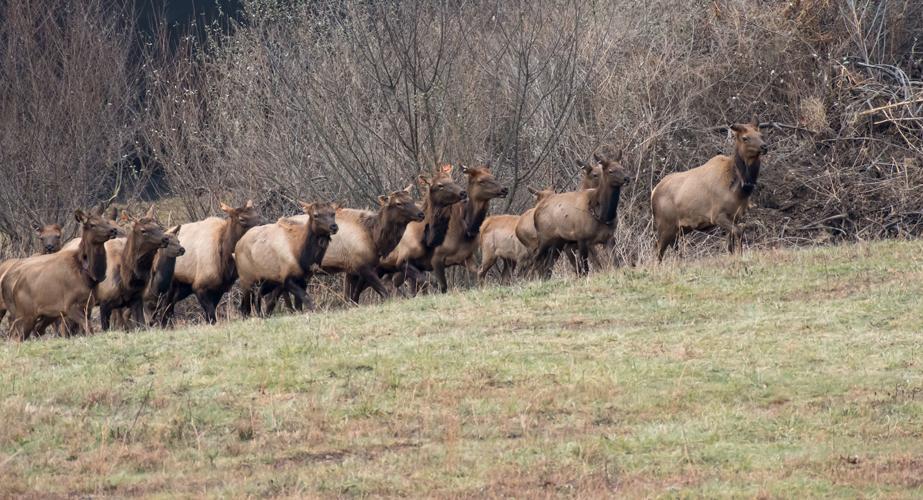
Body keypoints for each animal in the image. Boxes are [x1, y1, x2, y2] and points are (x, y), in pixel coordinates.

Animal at [0, 206, 121, 340]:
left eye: (105, 221)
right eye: (92, 224)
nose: (113, 230)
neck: (87, 275)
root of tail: (6, 280)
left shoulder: (88, 305)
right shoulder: (69, 305)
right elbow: (88, 328)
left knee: (32, 331)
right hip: (24, 312)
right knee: (17, 336)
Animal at [651, 121, 768, 260]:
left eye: (761, 134)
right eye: (745, 138)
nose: (764, 146)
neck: (739, 190)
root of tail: (653, 192)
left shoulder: (735, 216)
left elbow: (730, 245)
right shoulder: (717, 215)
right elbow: (739, 232)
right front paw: (741, 255)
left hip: (679, 228)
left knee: (673, 246)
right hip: (665, 224)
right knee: (658, 250)